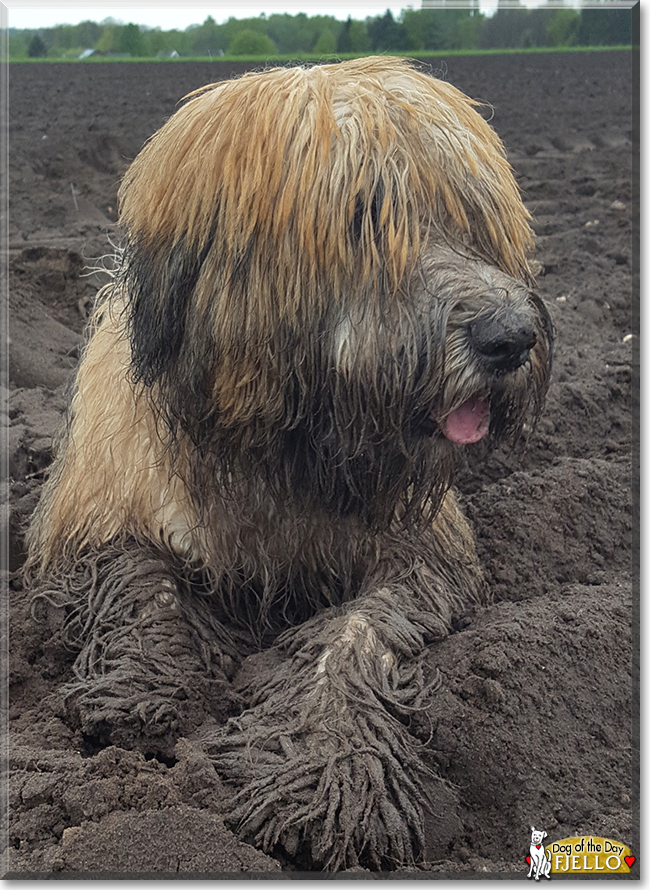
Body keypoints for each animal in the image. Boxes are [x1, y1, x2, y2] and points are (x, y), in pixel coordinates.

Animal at [27, 57, 548, 868]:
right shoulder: (105, 503)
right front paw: (141, 686)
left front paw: (331, 767)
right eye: (365, 219)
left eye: (473, 219)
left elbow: (356, 634)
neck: (284, 450)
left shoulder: (418, 552)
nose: (513, 336)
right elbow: (142, 580)